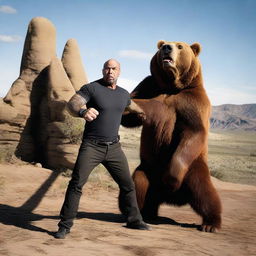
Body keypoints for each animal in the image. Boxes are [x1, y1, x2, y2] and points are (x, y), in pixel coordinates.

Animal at [120, 39, 222, 232]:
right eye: (162, 45)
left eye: (180, 46)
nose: (167, 48)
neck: (171, 85)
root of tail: (171, 198)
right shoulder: (148, 86)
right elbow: (129, 114)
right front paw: (137, 113)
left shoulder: (192, 100)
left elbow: (194, 131)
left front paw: (171, 178)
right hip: (148, 169)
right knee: (138, 186)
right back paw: (140, 213)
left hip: (193, 168)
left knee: (204, 191)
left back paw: (210, 224)